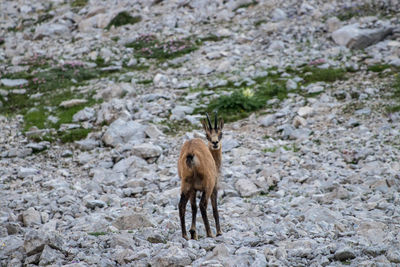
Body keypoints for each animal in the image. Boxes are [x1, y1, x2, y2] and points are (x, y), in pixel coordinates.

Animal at [177, 112, 223, 240]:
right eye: (207, 135)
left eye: (220, 133)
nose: (215, 143)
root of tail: (191, 153)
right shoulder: (214, 186)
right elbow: (214, 208)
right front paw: (219, 232)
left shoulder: (193, 190)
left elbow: (193, 207)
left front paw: (193, 232)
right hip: (207, 185)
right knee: (203, 205)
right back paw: (210, 233)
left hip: (186, 185)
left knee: (182, 205)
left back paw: (185, 235)